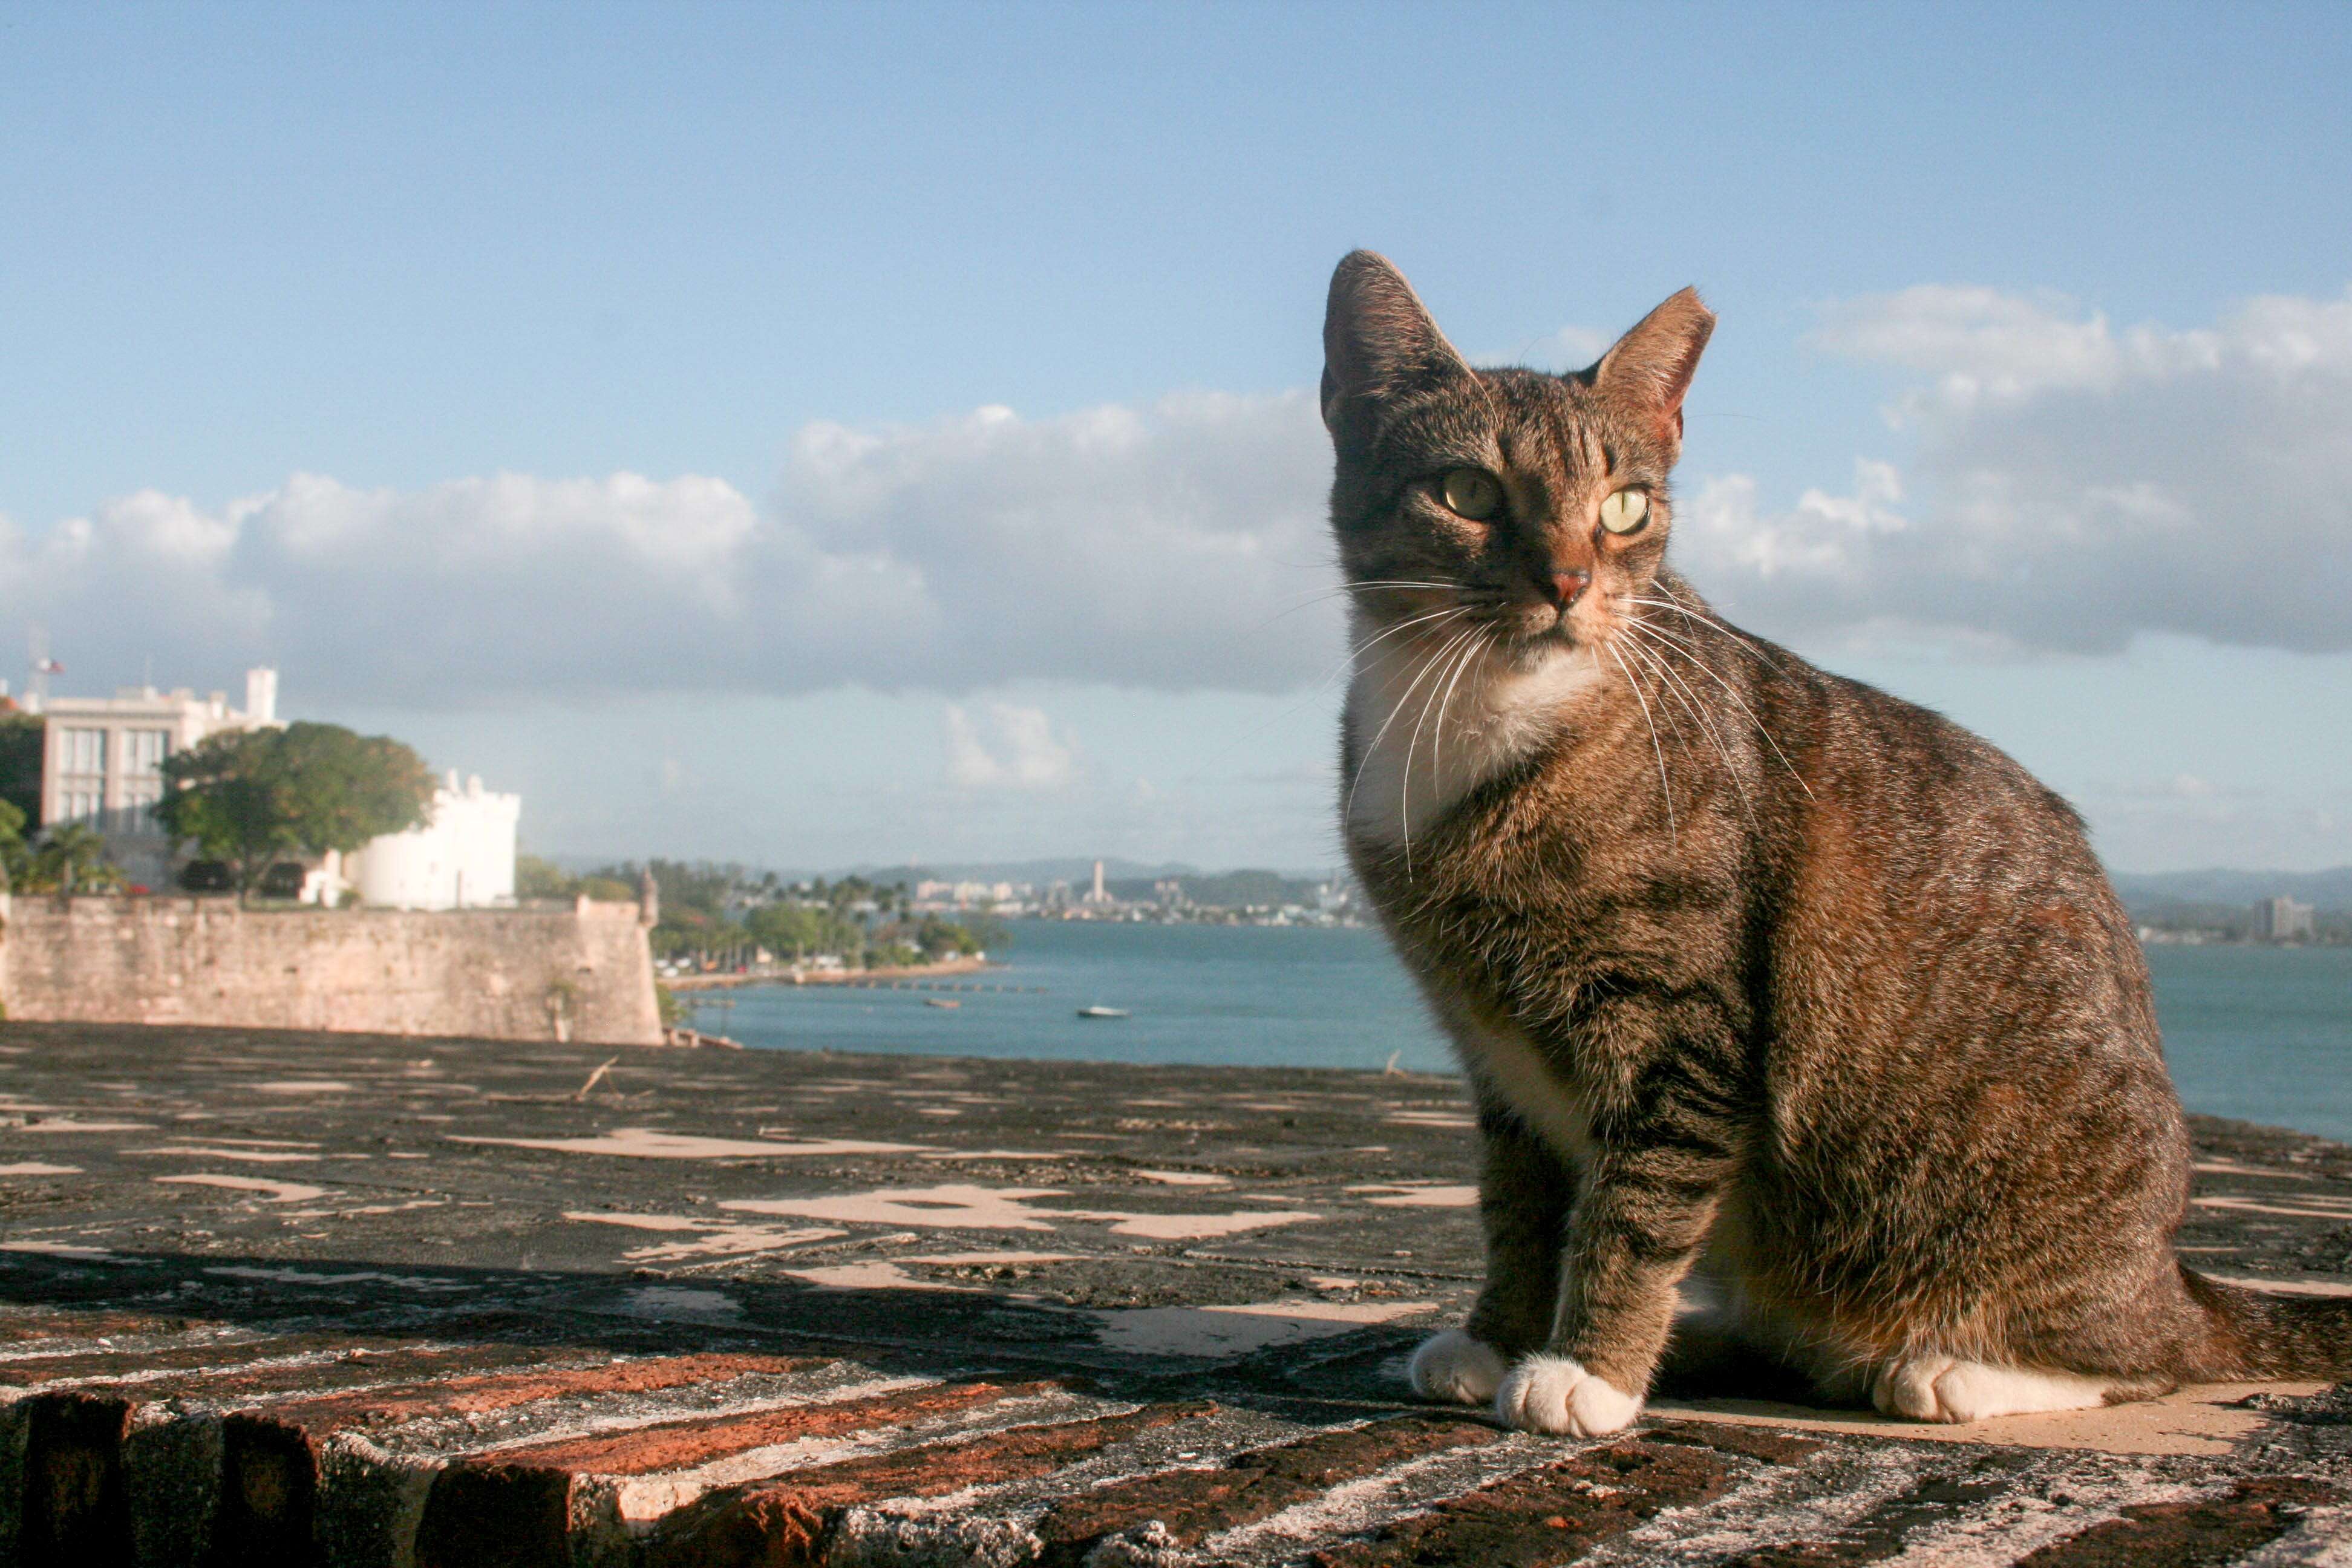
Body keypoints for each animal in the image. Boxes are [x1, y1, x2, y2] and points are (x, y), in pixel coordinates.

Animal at [1326, 246, 2352, 1439]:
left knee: (2146, 1355)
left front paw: (1588, 1368)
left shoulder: (1683, 1027)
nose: (1569, 583)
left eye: (1624, 507)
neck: (1477, 710)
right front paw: (1498, 1337)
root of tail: (2172, 1271)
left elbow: (1636, 1209)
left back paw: (1954, 1368)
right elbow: (1518, 1206)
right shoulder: (1494, 1051)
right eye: (1468, 493)